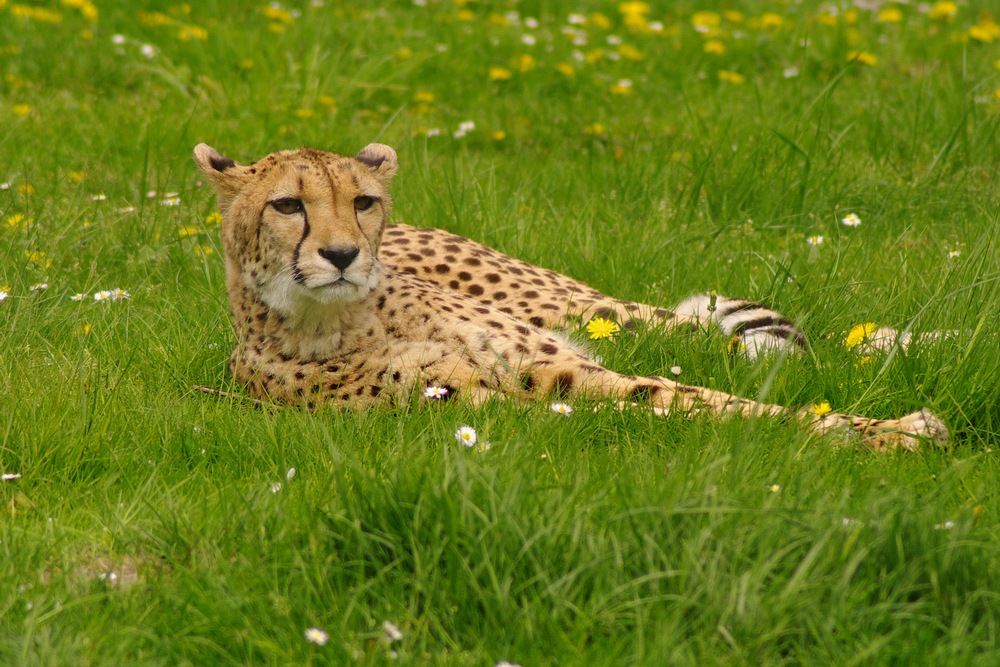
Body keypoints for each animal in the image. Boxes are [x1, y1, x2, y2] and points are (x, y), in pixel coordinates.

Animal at [191, 143, 948, 452]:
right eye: (288, 204)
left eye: (362, 201)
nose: (344, 254)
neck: (350, 316)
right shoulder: (494, 404)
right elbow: (678, 409)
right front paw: (895, 433)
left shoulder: (561, 368)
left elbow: (716, 401)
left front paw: (896, 428)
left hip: (587, 311)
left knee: (705, 330)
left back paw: (923, 340)